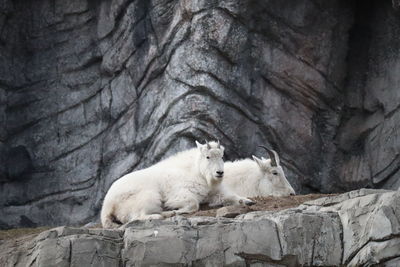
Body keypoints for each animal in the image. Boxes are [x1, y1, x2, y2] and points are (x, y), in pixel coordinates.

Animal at [101, 140, 255, 228]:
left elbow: (229, 196)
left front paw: (248, 201)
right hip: (145, 195)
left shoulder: (213, 191)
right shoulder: (179, 191)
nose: (219, 173)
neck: (196, 171)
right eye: (208, 156)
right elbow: (192, 203)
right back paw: (161, 214)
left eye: (222, 156)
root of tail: (107, 206)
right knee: (137, 215)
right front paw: (176, 209)